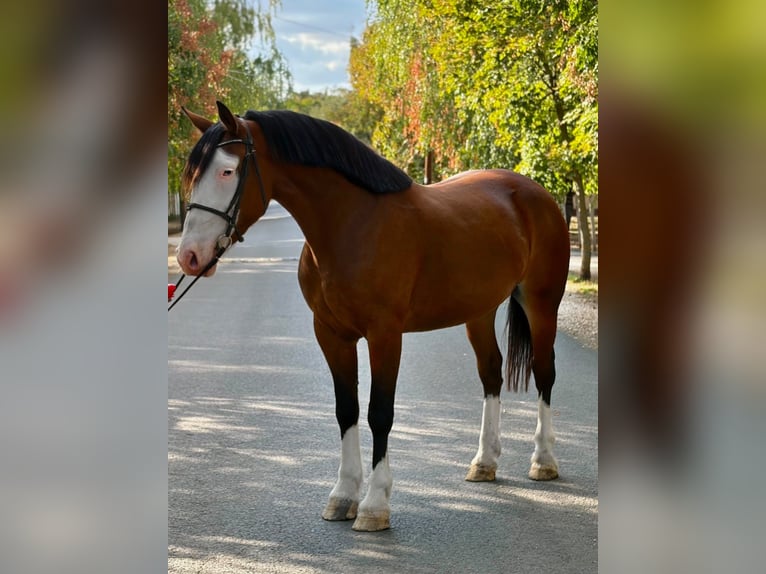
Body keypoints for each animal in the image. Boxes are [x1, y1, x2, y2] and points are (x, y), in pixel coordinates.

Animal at [176, 101, 570, 532]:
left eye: (227, 171)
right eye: (191, 174)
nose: (189, 256)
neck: (352, 224)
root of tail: (534, 192)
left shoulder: (385, 335)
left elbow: (379, 413)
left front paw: (374, 505)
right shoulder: (331, 334)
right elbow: (345, 410)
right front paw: (343, 495)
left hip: (542, 303)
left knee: (545, 372)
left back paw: (543, 460)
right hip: (478, 311)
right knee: (491, 373)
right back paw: (484, 462)